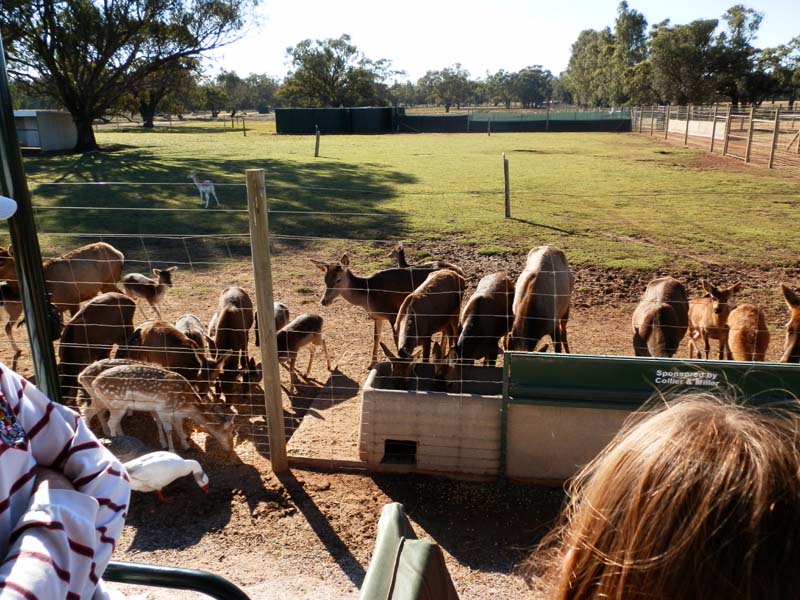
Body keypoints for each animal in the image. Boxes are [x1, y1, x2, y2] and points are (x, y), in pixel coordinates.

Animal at [90, 363, 235, 453]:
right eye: (230, 432)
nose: (231, 448)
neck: (185, 404)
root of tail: (94, 383)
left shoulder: (175, 413)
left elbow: (179, 427)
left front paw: (186, 446)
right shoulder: (164, 409)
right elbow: (169, 430)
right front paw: (172, 450)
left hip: (112, 405)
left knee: (113, 421)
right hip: (116, 404)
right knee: (111, 422)